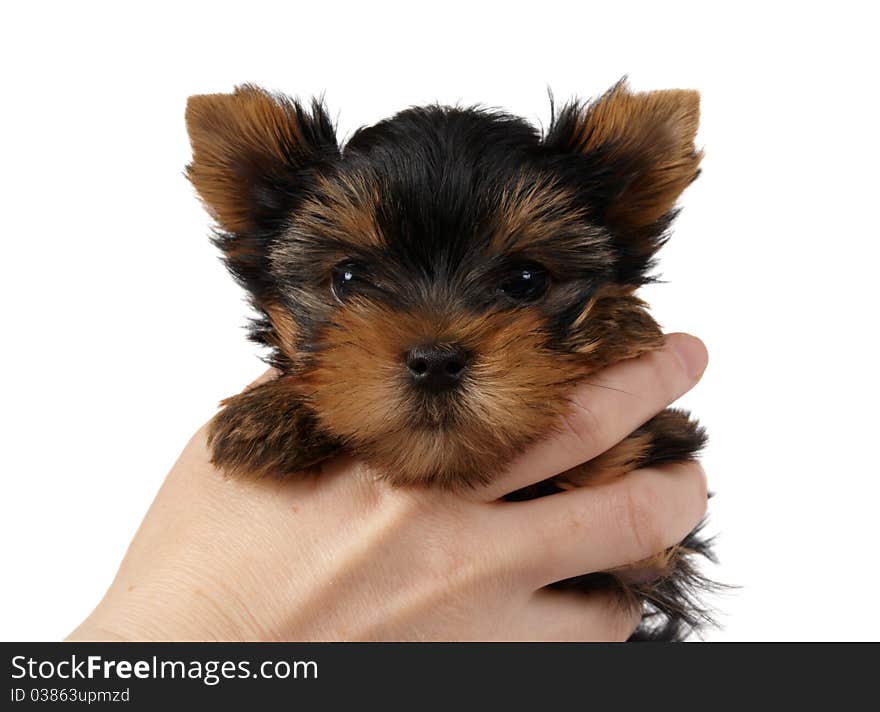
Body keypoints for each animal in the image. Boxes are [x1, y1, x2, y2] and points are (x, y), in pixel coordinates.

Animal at [184, 80, 716, 644]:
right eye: (348, 278)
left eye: (526, 281)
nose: (436, 361)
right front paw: (269, 415)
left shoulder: (639, 553)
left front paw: (619, 328)